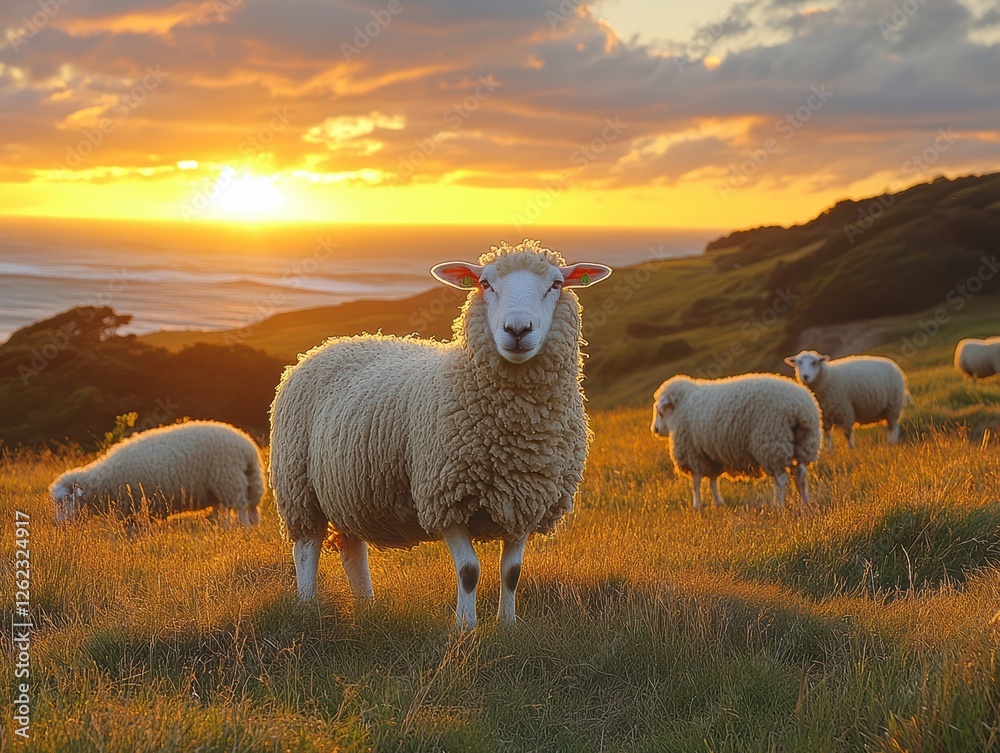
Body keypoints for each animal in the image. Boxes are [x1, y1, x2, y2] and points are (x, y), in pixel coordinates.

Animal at [50, 420, 264, 526]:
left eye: (66, 500)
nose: (59, 525)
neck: (105, 483)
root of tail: (246, 446)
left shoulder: (139, 505)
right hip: (244, 482)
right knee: (247, 509)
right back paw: (248, 529)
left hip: (229, 481)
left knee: (241, 508)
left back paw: (243, 529)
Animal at [269, 239, 612, 627]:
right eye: (485, 284)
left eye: (556, 284)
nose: (517, 329)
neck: (514, 432)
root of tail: (329, 345)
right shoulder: (443, 496)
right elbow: (469, 570)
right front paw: (465, 627)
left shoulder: (527, 499)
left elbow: (512, 572)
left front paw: (507, 625)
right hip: (298, 486)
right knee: (306, 548)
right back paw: (307, 606)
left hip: (347, 490)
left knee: (352, 549)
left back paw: (366, 606)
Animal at [650, 374, 821, 509]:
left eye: (659, 411)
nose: (655, 430)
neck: (679, 408)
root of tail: (799, 407)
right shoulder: (710, 457)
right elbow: (712, 481)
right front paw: (718, 503)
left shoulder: (693, 455)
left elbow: (696, 483)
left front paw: (697, 506)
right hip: (802, 444)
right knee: (800, 475)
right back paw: (804, 503)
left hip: (771, 442)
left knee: (781, 479)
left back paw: (778, 506)